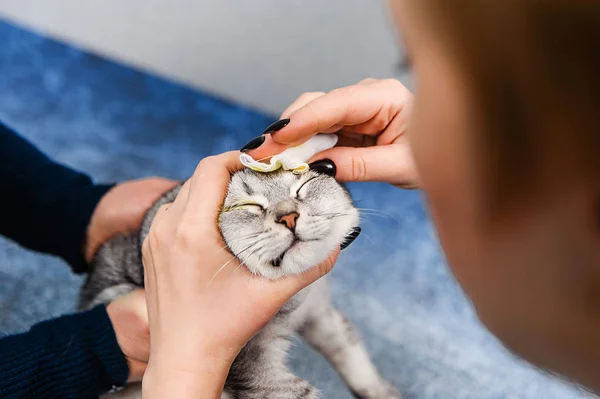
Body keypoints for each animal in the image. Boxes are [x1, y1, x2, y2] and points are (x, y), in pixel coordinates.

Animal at [78, 166, 398, 399]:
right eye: (250, 205)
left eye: (303, 187)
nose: (289, 216)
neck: (298, 298)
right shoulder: (251, 366)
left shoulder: (320, 314)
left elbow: (352, 355)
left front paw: (383, 392)